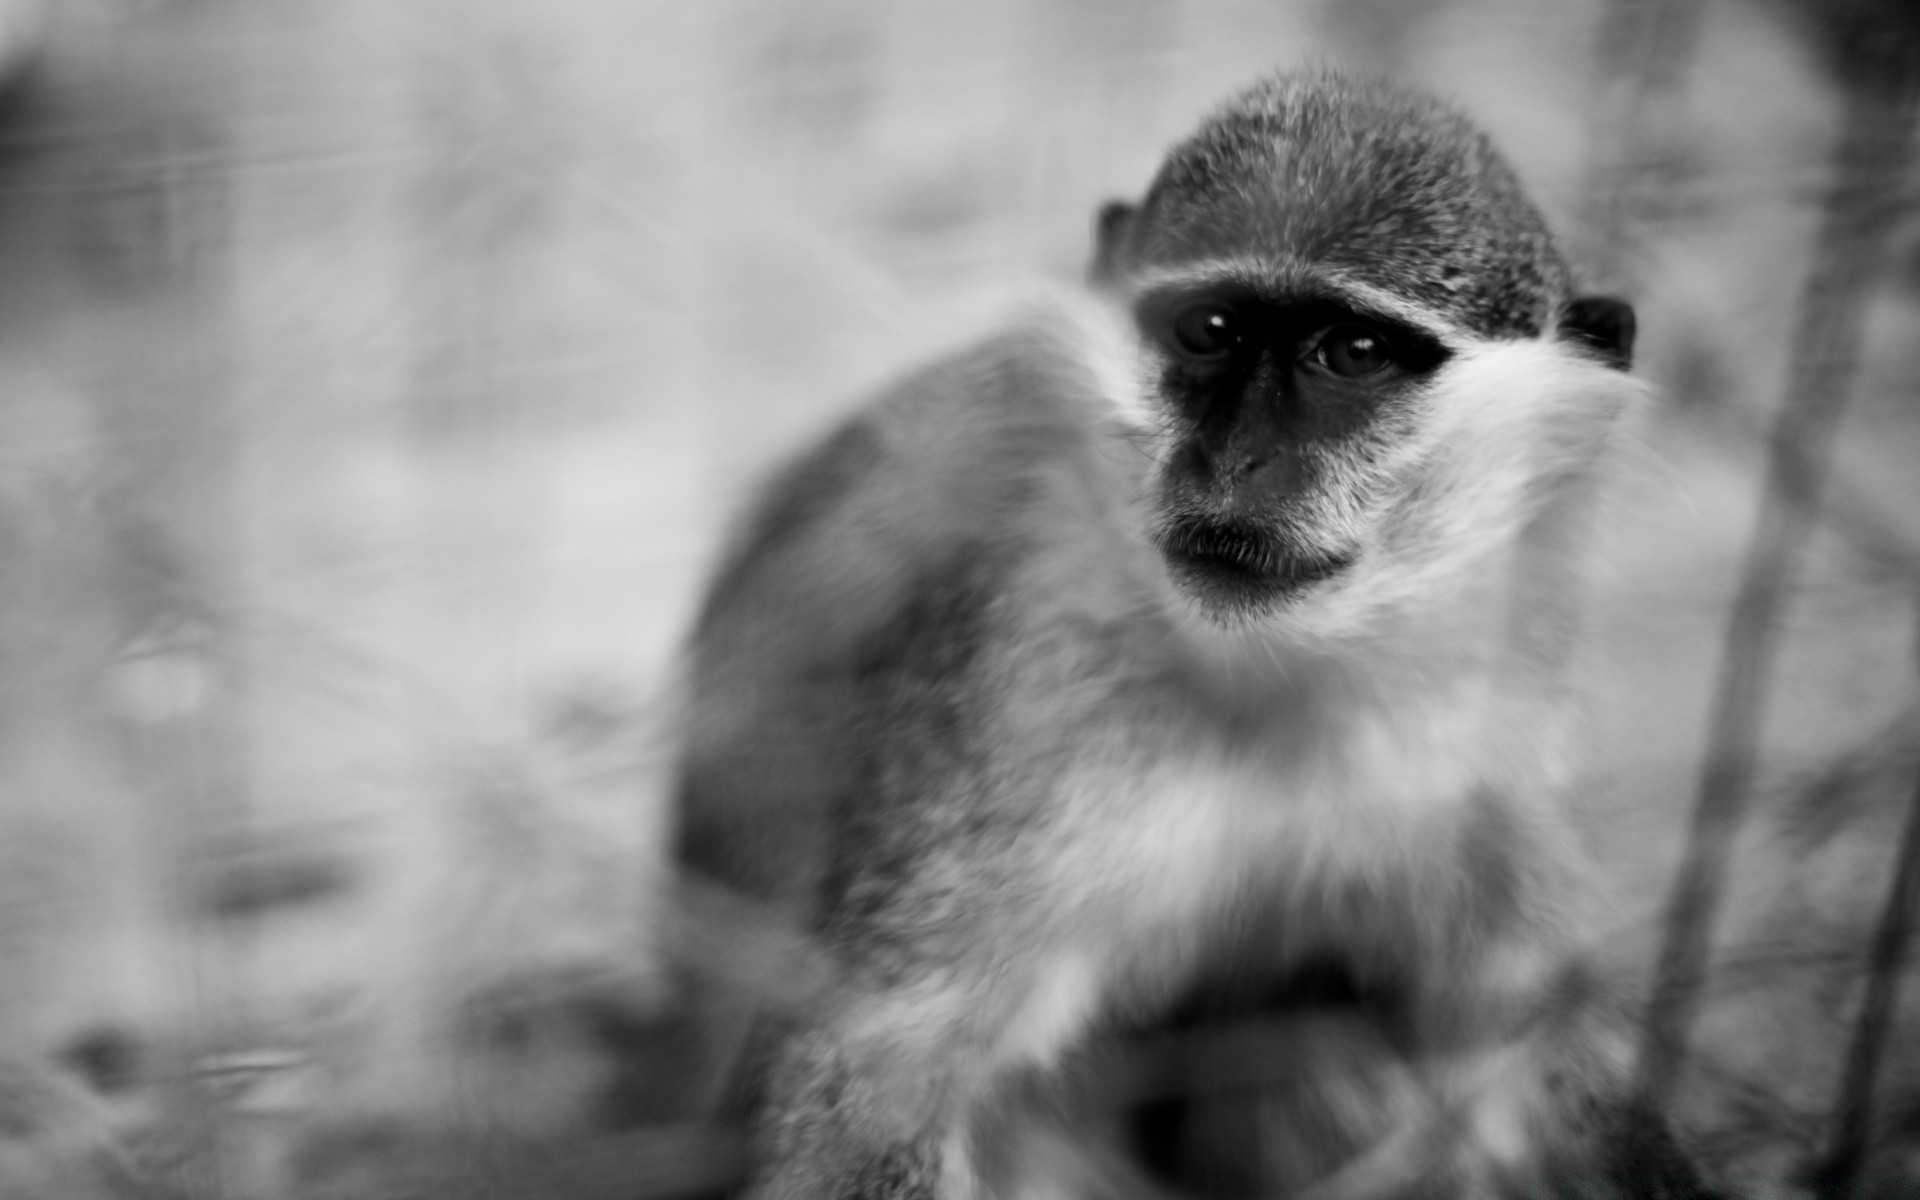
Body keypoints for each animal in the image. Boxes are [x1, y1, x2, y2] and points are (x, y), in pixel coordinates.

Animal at [672, 70, 1712, 1190]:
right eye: (1208, 329)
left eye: (1353, 351)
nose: (1234, 461)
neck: (1265, 685)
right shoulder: (1021, 682)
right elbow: (877, 1074)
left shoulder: (1489, 731)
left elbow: (1536, 1050)